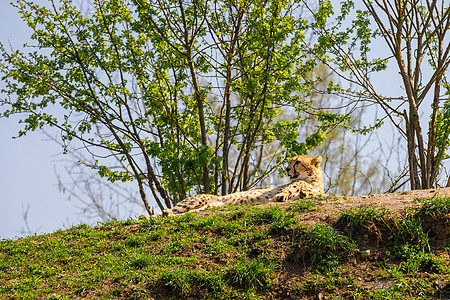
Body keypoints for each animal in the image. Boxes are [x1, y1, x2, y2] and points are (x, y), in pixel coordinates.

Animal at [160, 156, 326, 217]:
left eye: (297, 162)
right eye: (291, 161)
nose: (287, 169)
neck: (312, 180)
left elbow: (306, 194)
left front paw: (305, 193)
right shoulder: (281, 190)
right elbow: (284, 192)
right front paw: (283, 195)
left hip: (209, 206)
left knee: (185, 214)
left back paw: (167, 214)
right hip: (196, 201)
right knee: (170, 212)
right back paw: (165, 212)